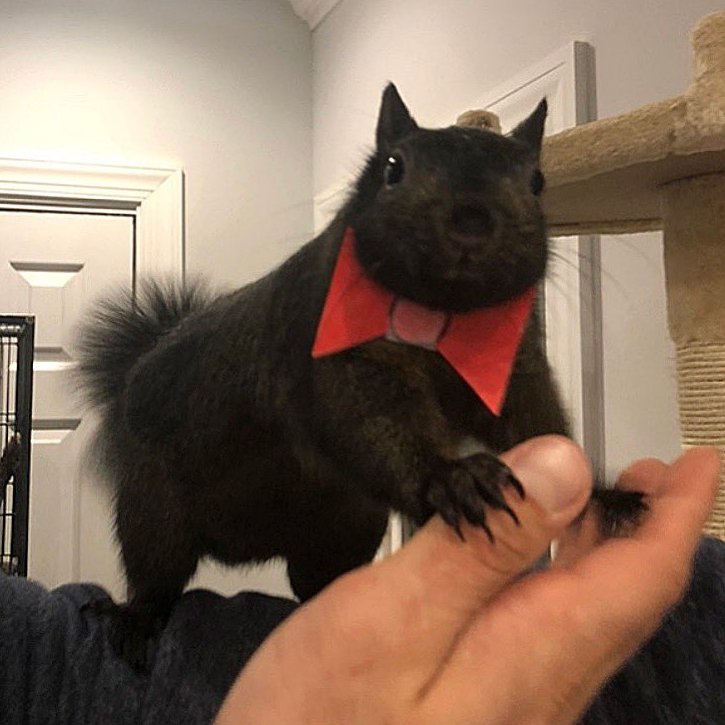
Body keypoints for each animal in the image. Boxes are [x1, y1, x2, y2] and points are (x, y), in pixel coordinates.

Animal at [77, 83, 643, 668]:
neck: (440, 315)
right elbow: (364, 419)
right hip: (154, 506)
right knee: (157, 573)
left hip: (342, 528)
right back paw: (135, 619)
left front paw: (603, 494)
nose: (471, 220)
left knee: (312, 581)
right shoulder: (329, 358)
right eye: (392, 167)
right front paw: (452, 477)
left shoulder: (509, 368)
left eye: (537, 181)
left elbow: (535, 421)